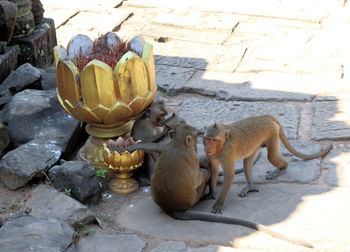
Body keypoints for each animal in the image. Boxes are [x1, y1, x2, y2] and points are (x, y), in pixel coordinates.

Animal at [204, 114, 332, 215]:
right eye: (207, 139)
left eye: (214, 140)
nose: (208, 147)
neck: (221, 146)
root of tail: (264, 116)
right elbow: (214, 169)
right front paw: (211, 193)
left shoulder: (228, 152)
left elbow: (229, 175)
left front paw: (219, 205)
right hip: (256, 142)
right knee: (248, 160)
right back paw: (250, 185)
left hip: (272, 132)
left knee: (271, 156)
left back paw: (282, 168)